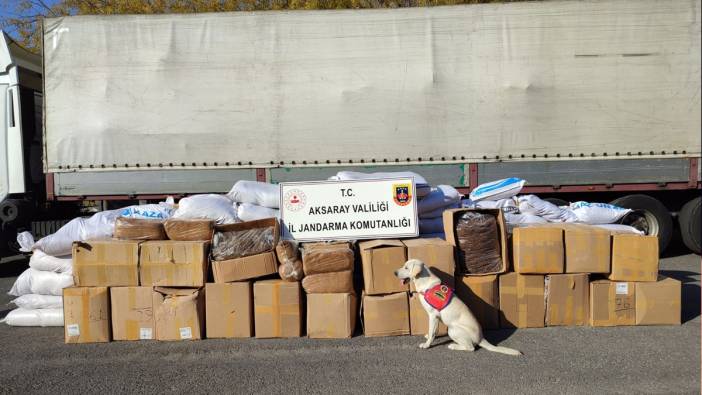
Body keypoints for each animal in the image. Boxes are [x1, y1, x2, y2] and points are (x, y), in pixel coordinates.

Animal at [396, 260, 524, 356]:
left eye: (406, 268)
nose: (394, 272)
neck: (424, 282)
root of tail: (481, 338)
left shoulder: (433, 315)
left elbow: (432, 332)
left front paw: (427, 344)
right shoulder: (436, 317)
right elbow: (434, 331)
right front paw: (429, 336)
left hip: (453, 330)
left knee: (471, 348)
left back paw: (453, 345)